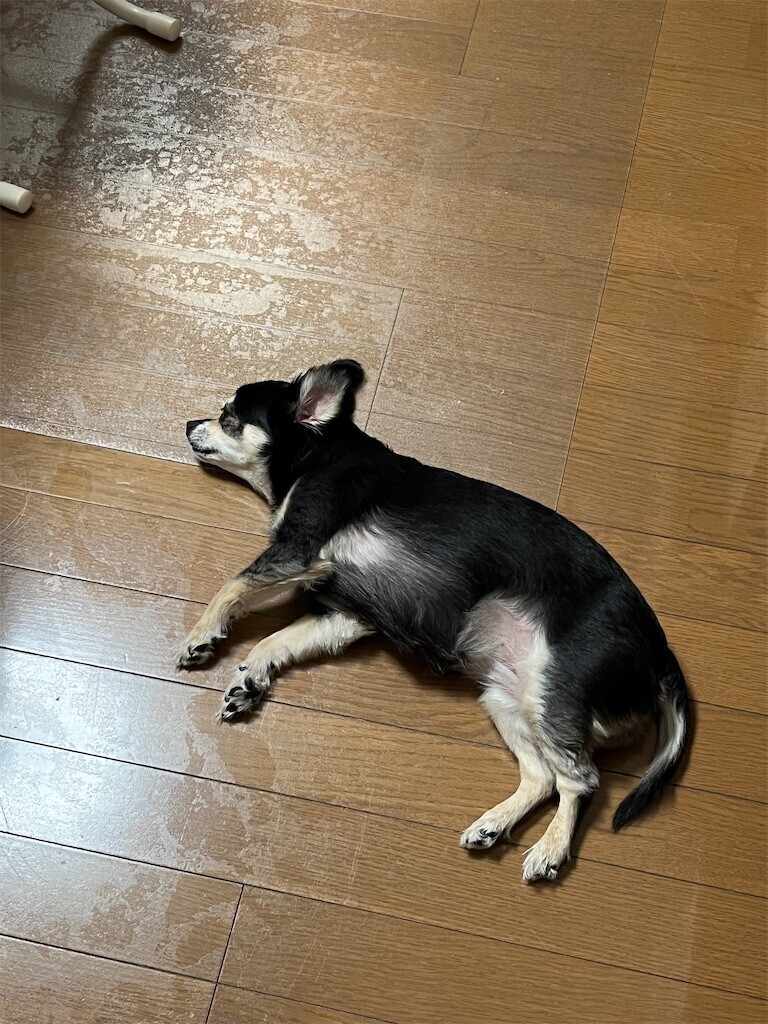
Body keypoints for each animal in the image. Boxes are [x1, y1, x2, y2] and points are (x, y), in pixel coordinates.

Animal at [180, 359, 690, 881]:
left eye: (228, 415)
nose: (187, 422)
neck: (316, 459)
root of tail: (661, 658)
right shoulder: (345, 612)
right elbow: (273, 640)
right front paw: (249, 679)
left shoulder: (301, 551)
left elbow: (232, 586)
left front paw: (201, 636)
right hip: (507, 696)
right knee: (542, 776)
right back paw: (492, 825)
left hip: (555, 690)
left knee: (581, 780)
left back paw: (550, 850)